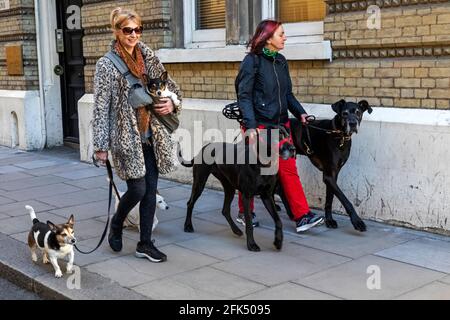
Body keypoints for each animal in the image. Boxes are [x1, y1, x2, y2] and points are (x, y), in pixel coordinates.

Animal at [282, 99, 372, 231]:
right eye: (344, 113)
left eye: (358, 112)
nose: (353, 124)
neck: (339, 135)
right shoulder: (329, 176)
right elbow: (345, 200)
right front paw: (357, 221)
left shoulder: (333, 175)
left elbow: (330, 198)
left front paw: (329, 220)